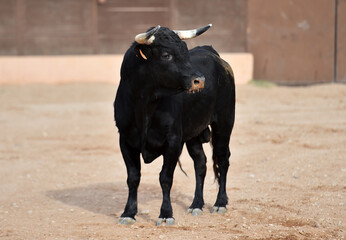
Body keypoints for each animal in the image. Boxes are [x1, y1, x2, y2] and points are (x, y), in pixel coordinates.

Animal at [113, 25, 235, 226]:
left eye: (185, 51)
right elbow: (133, 178)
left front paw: (165, 214)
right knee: (200, 163)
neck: (145, 105)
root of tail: (213, 54)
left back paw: (220, 203)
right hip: (194, 134)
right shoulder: (126, 141)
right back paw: (196, 204)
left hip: (224, 124)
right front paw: (128, 213)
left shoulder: (173, 142)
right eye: (166, 55)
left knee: (222, 160)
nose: (199, 80)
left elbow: (165, 178)